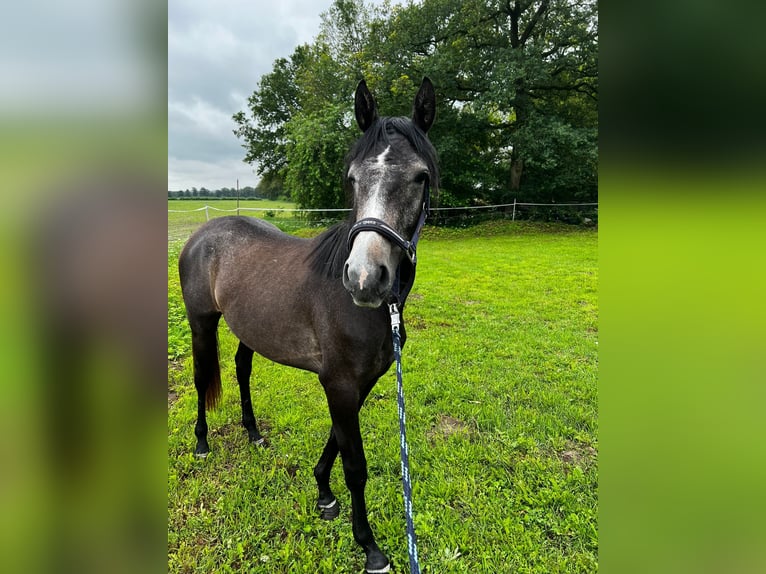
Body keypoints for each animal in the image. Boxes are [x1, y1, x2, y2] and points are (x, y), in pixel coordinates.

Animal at [176, 77, 438, 574]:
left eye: (420, 177)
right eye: (352, 178)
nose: (365, 277)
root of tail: (202, 235)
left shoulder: (361, 382)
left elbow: (336, 441)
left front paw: (323, 493)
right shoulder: (338, 382)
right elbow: (355, 464)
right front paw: (370, 546)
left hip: (248, 330)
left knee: (241, 369)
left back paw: (254, 433)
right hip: (201, 323)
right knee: (202, 379)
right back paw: (201, 443)